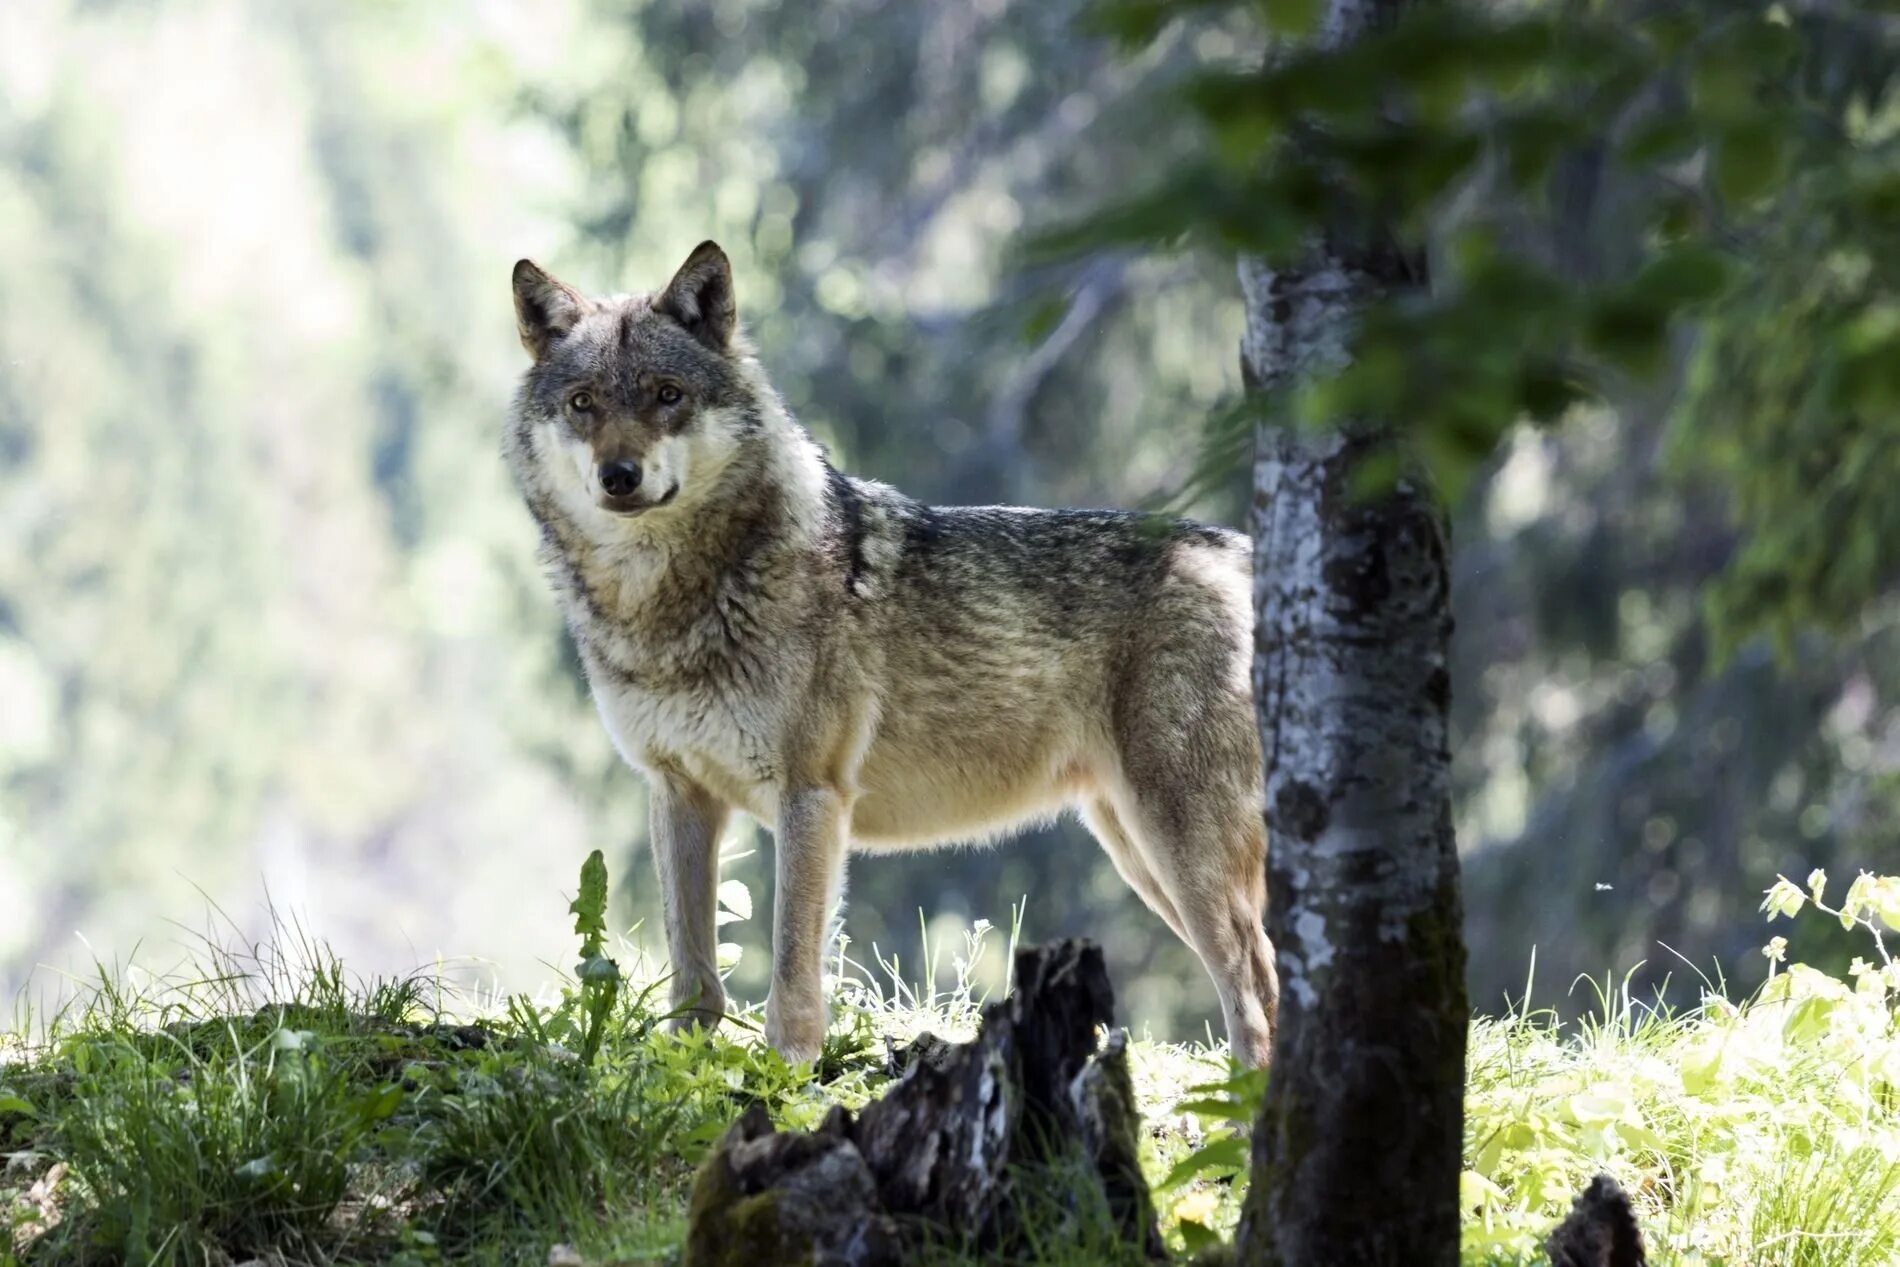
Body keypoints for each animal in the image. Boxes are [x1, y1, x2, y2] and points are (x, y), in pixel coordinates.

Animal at [505, 243, 1276, 1063]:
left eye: (667, 394)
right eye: (583, 403)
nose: (619, 477)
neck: (670, 604)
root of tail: (1239, 549)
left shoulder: (811, 795)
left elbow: (791, 969)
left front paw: (786, 1074)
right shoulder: (679, 791)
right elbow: (694, 971)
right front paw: (682, 1066)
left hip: (1176, 850)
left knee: (1252, 983)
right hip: (1136, 849)